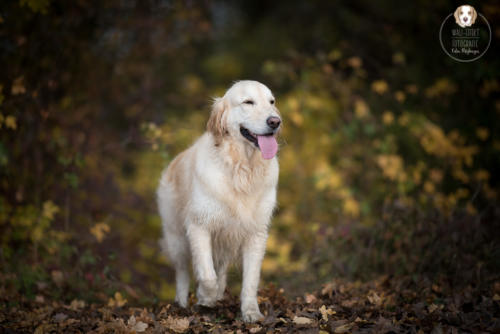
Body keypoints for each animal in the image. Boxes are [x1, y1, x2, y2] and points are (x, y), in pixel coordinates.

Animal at [157, 79, 282, 322]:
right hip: (176, 237)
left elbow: (250, 280)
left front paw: (251, 312)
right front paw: (207, 298)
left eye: (271, 102)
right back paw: (182, 303)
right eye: (248, 102)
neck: (242, 168)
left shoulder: (256, 233)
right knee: (182, 272)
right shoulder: (199, 226)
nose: (275, 121)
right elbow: (207, 276)